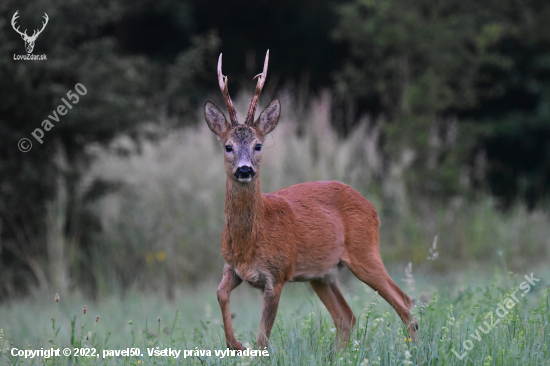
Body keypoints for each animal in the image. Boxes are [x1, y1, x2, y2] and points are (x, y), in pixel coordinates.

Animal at [206, 50, 418, 348]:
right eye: (228, 146)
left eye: (258, 145)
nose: (244, 170)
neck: (252, 237)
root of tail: (372, 208)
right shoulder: (233, 267)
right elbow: (220, 293)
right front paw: (235, 344)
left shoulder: (277, 273)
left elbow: (263, 338)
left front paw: (245, 345)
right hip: (322, 273)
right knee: (346, 316)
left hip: (365, 251)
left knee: (404, 300)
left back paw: (416, 347)